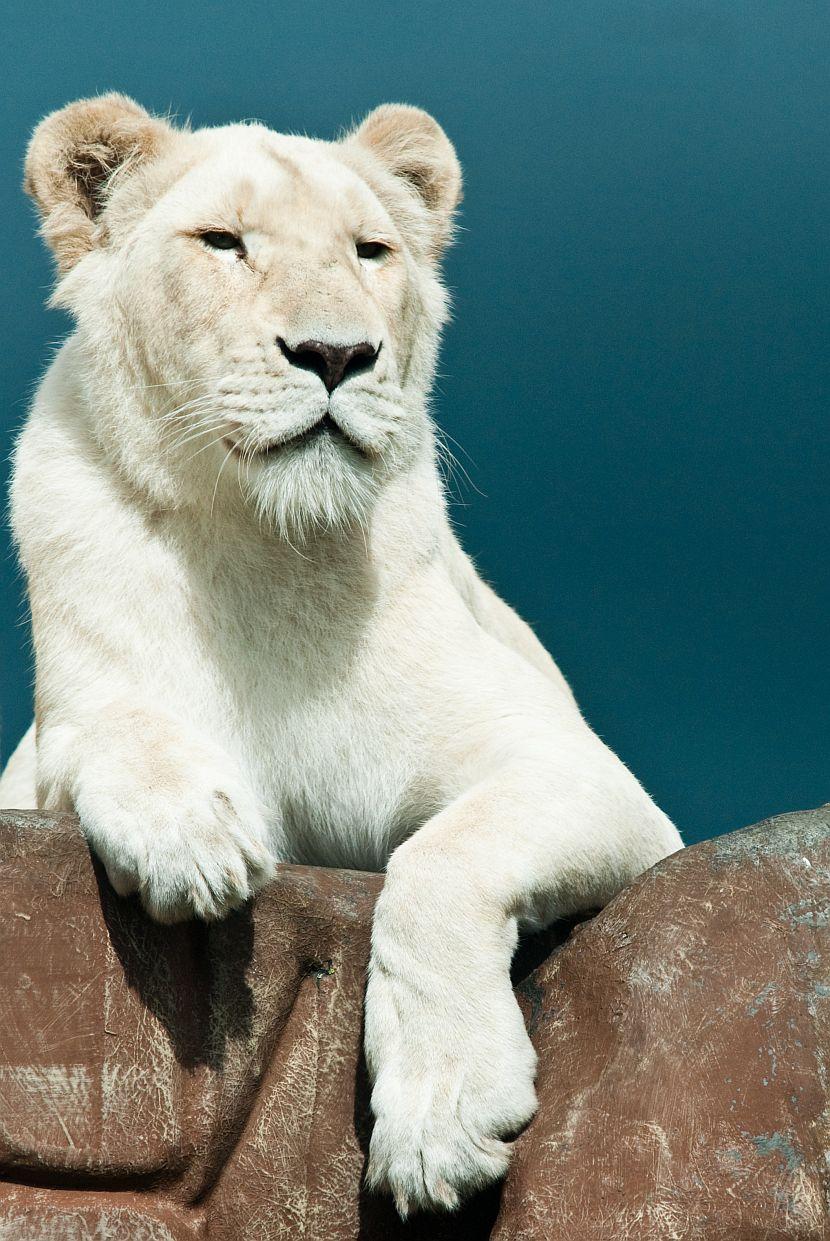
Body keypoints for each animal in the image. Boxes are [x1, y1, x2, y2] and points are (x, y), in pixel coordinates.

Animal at [0, 94, 679, 1211]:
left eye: (371, 250)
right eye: (223, 241)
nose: (334, 355)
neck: (270, 551)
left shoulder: (586, 777)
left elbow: (436, 860)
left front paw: (441, 1116)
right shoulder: (58, 741)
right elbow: (110, 727)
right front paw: (196, 839)